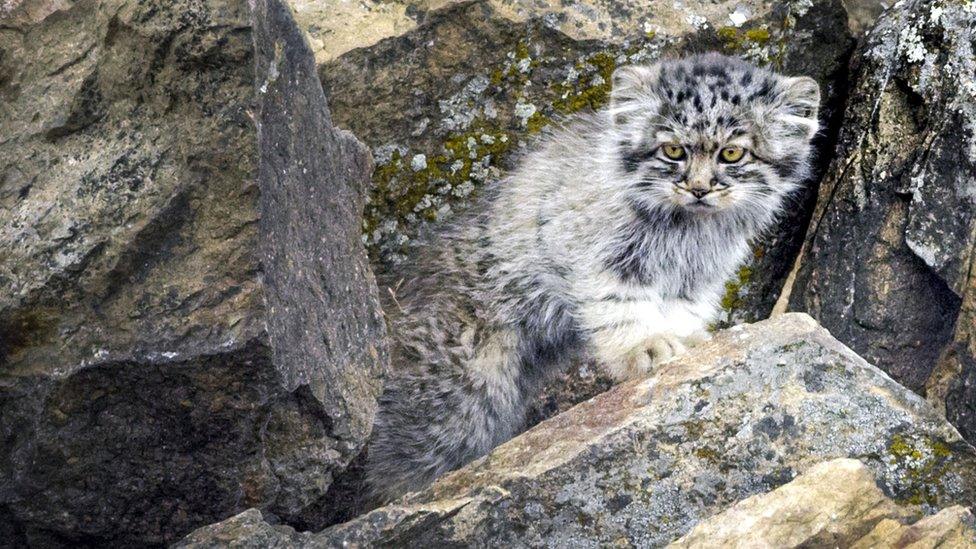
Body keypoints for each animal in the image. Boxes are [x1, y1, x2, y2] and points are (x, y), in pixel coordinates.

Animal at [370, 51, 820, 500]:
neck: (688, 231)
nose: (698, 188)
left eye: (732, 154)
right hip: (460, 398)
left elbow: (680, 312)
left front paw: (685, 340)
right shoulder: (605, 260)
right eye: (673, 150)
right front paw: (646, 346)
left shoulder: (695, 278)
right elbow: (621, 308)